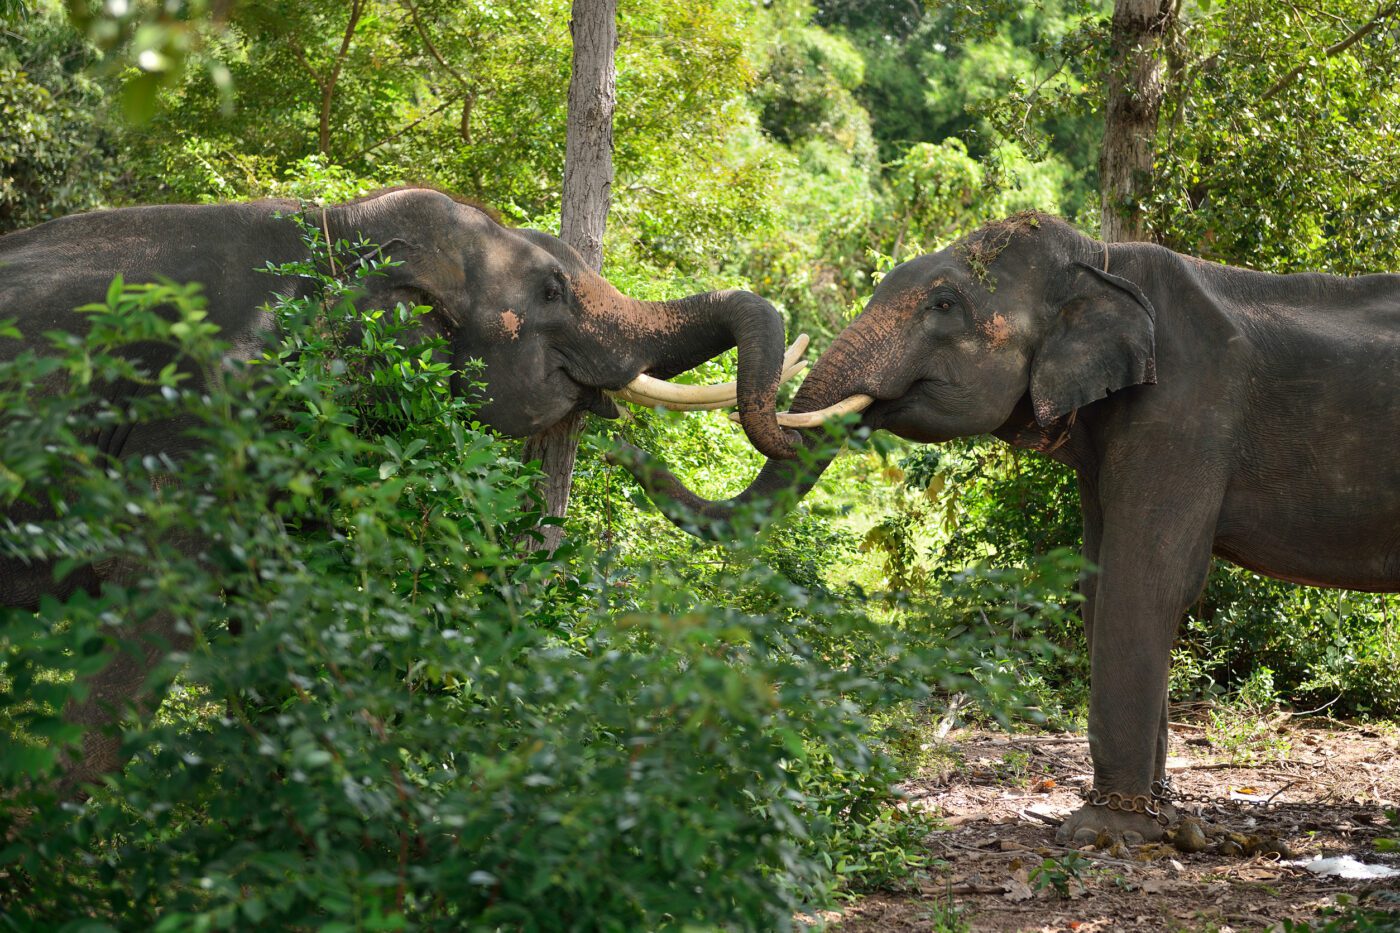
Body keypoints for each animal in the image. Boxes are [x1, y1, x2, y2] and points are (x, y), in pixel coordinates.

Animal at [615, 211, 1400, 844]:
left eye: (943, 304)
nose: (616, 430)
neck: (1101, 261)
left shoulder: (1184, 409)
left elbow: (1148, 582)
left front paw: (1105, 835)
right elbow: (1100, 581)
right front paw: (1168, 822)